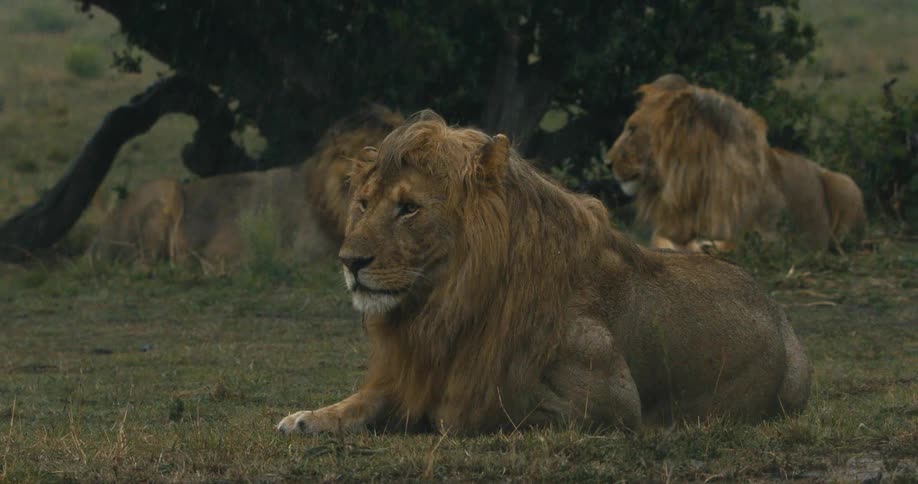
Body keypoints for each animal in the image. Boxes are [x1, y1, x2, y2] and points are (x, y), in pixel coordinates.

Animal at [276, 111, 811, 435]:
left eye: (408, 208)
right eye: (364, 204)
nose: (349, 261)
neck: (445, 305)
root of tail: (777, 307)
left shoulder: (614, 402)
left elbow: (494, 406)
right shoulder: (413, 369)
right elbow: (361, 401)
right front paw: (306, 418)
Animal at [604, 74, 865, 252]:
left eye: (632, 129)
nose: (607, 162)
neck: (694, 183)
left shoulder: (773, 236)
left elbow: (735, 242)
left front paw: (705, 246)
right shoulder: (668, 227)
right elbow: (663, 241)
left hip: (846, 184)